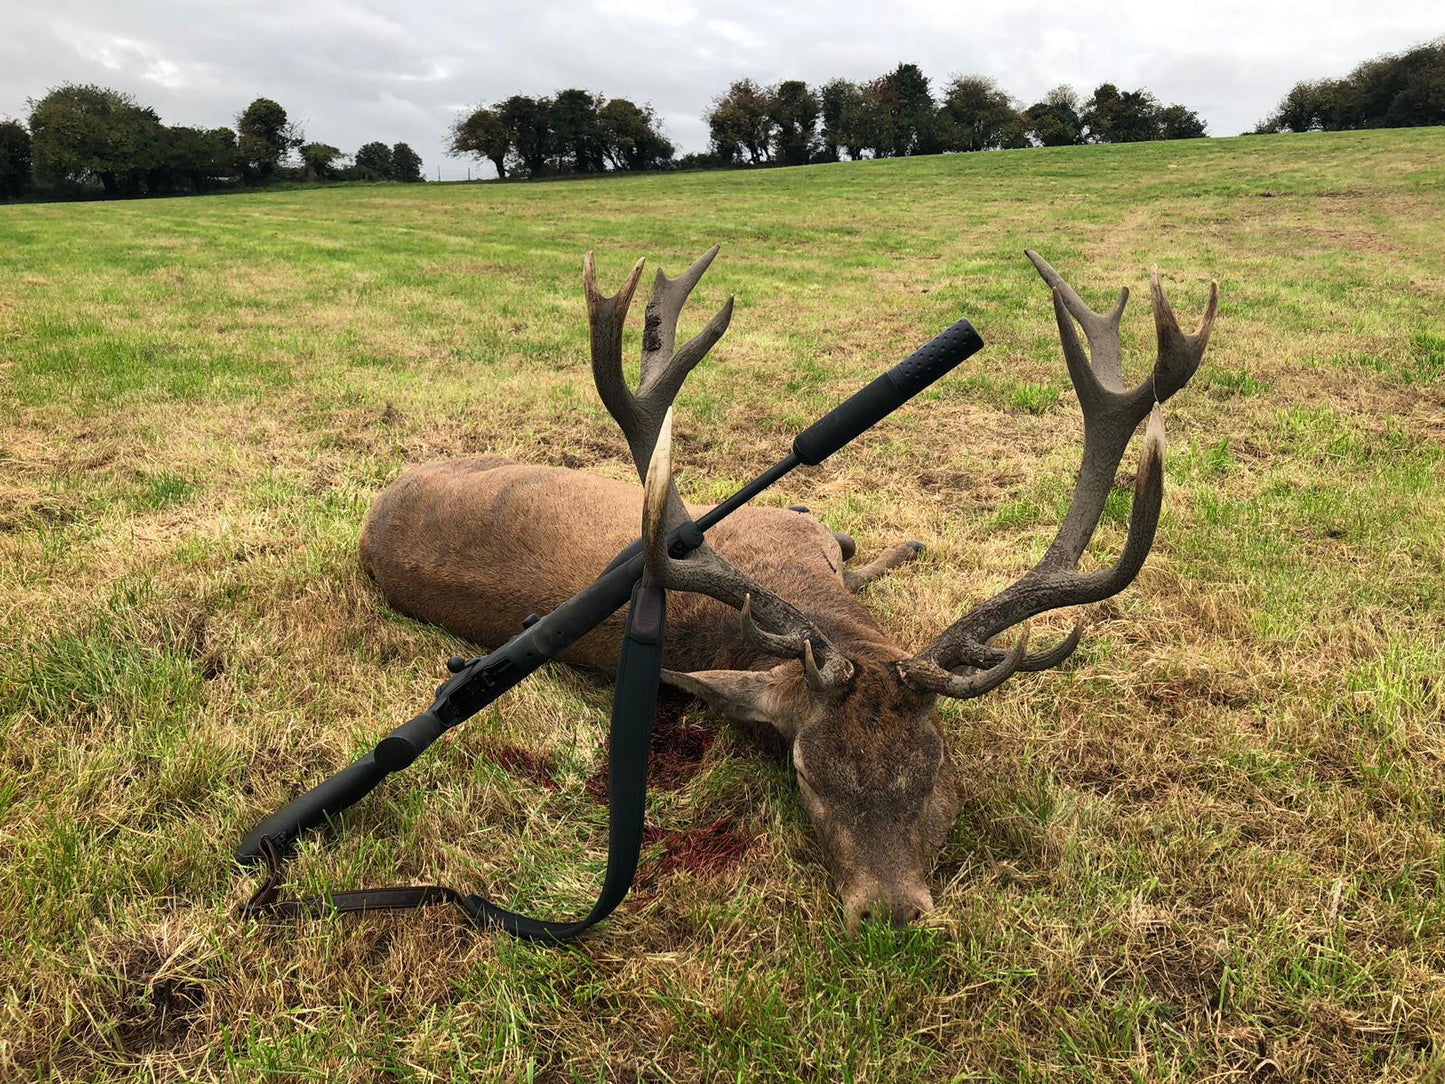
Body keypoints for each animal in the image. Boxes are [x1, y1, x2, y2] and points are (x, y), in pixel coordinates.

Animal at [359, 246, 1217, 930]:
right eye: (803, 772)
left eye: (936, 764)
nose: (890, 913)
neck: (803, 585)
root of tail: (373, 515)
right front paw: (897, 544)